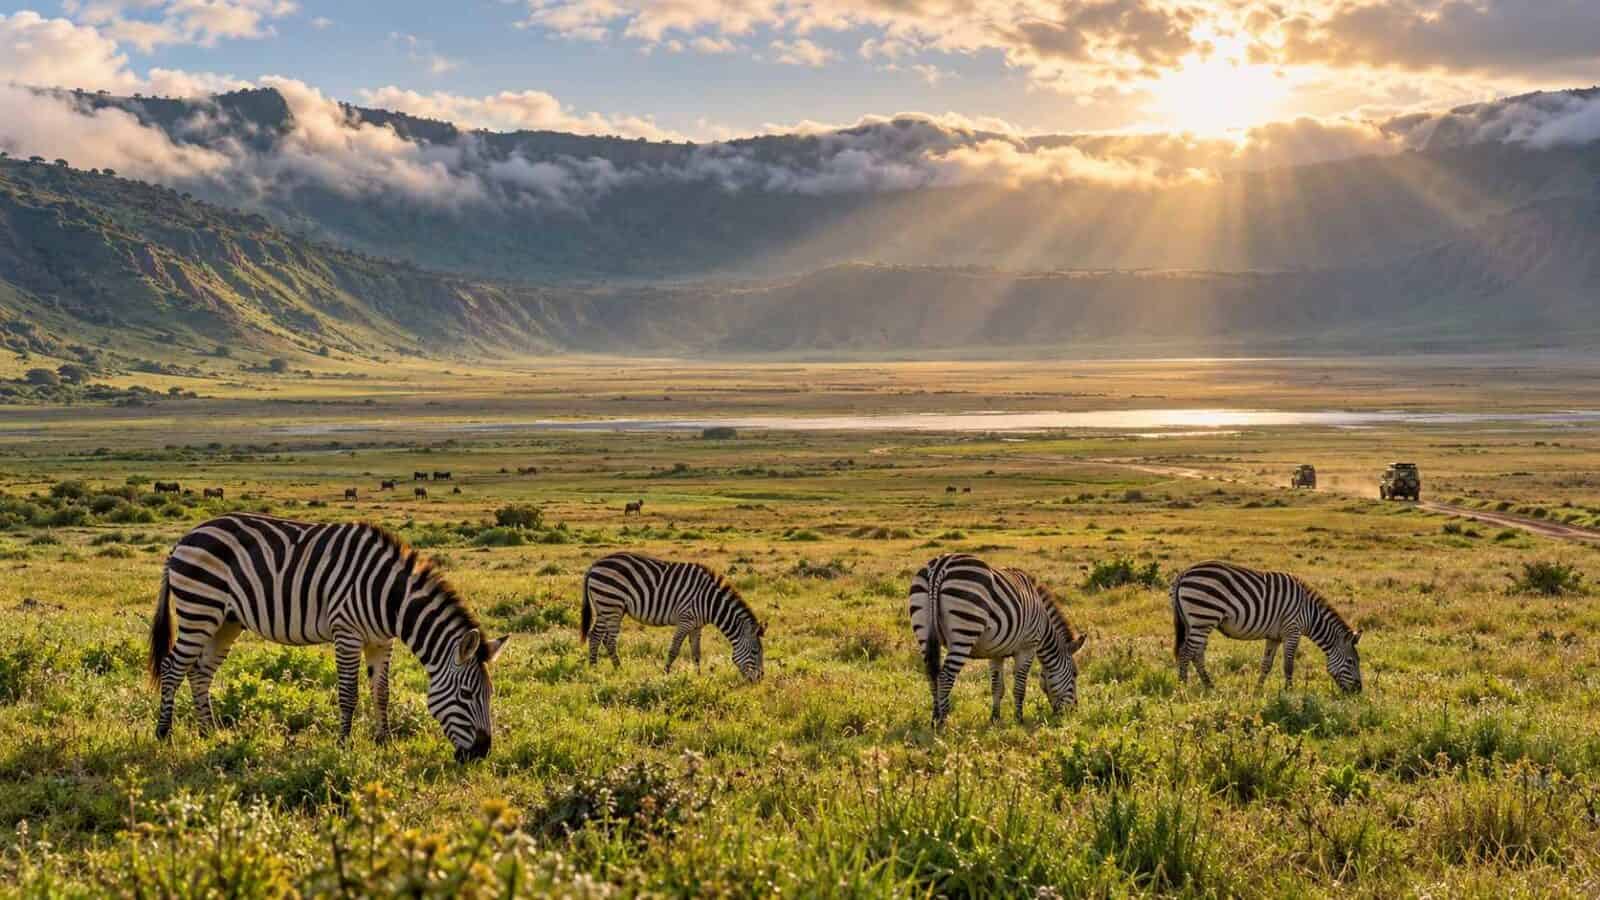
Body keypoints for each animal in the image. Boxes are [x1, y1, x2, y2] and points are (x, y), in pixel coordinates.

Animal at [148, 513, 509, 761]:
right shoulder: (346, 632)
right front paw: (344, 745)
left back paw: (209, 733)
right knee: (173, 668)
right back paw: (164, 734)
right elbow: (349, 693)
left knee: (200, 672)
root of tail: (184, 538)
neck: (390, 598)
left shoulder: (381, 640)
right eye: (466, 694)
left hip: (225, 621)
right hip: (199, 608)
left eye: (490, 694)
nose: (481, 753)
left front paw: (385, 741)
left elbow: (382, 692)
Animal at [580, 552, 765, 681]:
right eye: (755, 652)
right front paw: (665, 673)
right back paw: (616, 669)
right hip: (611, 605)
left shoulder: (696, 625)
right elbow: (674, 649)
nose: (760, 679)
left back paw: (596, 668)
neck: (709, 602)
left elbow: (696, 652)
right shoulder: (685, 620)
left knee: (597, 636)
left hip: (605, 607)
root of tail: (594, 565)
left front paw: (699, 676)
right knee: (607, 640)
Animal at [910, 553, 1087, 728]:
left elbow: (997, 687)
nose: (1074, 712)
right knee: (945, 677)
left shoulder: (995, 652)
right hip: (964, 630)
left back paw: (934, 718)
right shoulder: (1027, 648)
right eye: (1075, 674)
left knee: (931, 676)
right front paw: (1018, 720)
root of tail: (940, 566)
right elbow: (1019, 687)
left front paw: (994, 718)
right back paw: (943, 721)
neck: (1044, 625)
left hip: (923, 629)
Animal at [1171, 560, 1363, 693]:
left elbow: (1266, 664)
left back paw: (1209, 686)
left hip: (1195, 623)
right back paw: (1182, 687)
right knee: (1186, 653)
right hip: (1203, 618)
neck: (1310, 613)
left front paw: (1258, 690)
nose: (1358, 691)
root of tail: (1183, 574)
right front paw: (1289, 692)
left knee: (1196, 655)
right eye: (1351, 662)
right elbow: (1288, 665)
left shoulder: (1274, 637)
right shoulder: (1292, 630)